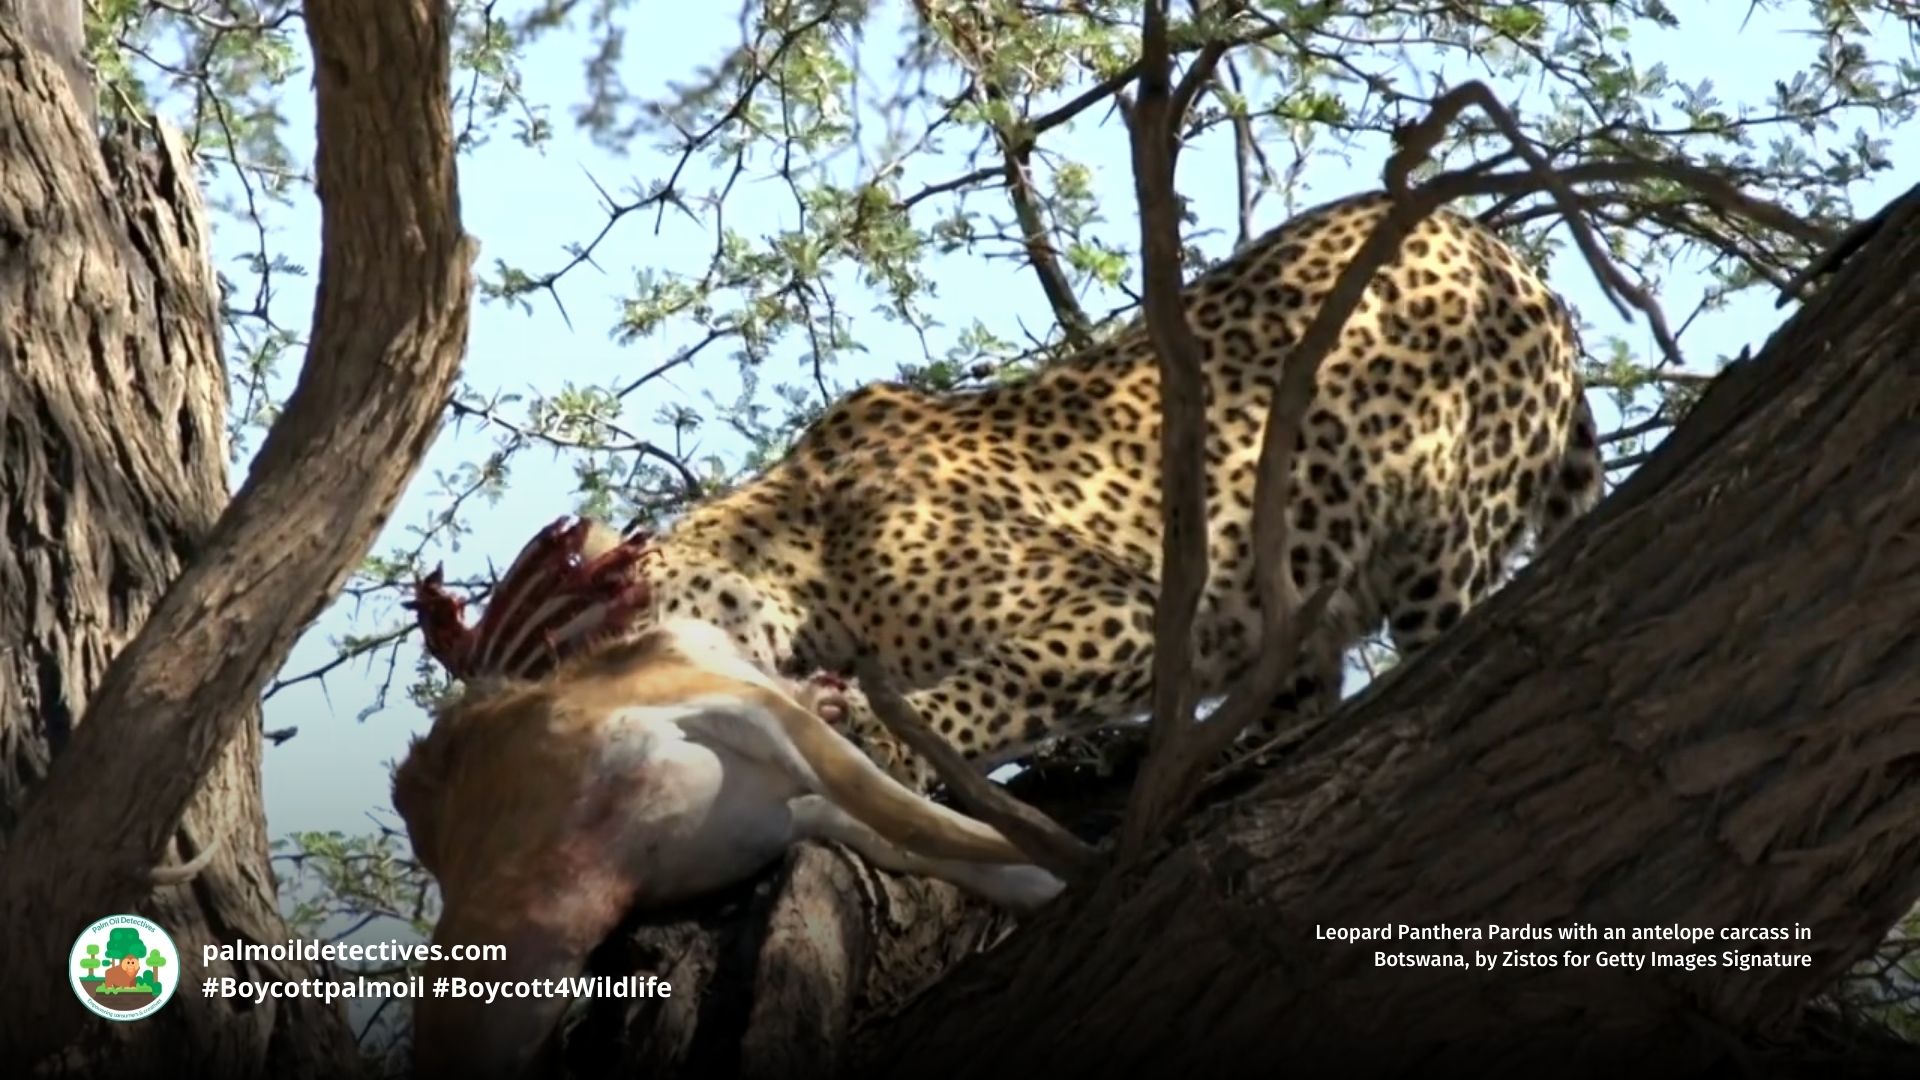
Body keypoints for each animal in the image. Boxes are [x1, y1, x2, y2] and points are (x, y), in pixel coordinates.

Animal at [422, 190, 1606, 796]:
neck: (792, 553)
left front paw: (886, 739)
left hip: (1445, 540)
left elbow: (999, 683)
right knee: (1309, 683)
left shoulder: (1126, 610)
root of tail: (1519, 262)